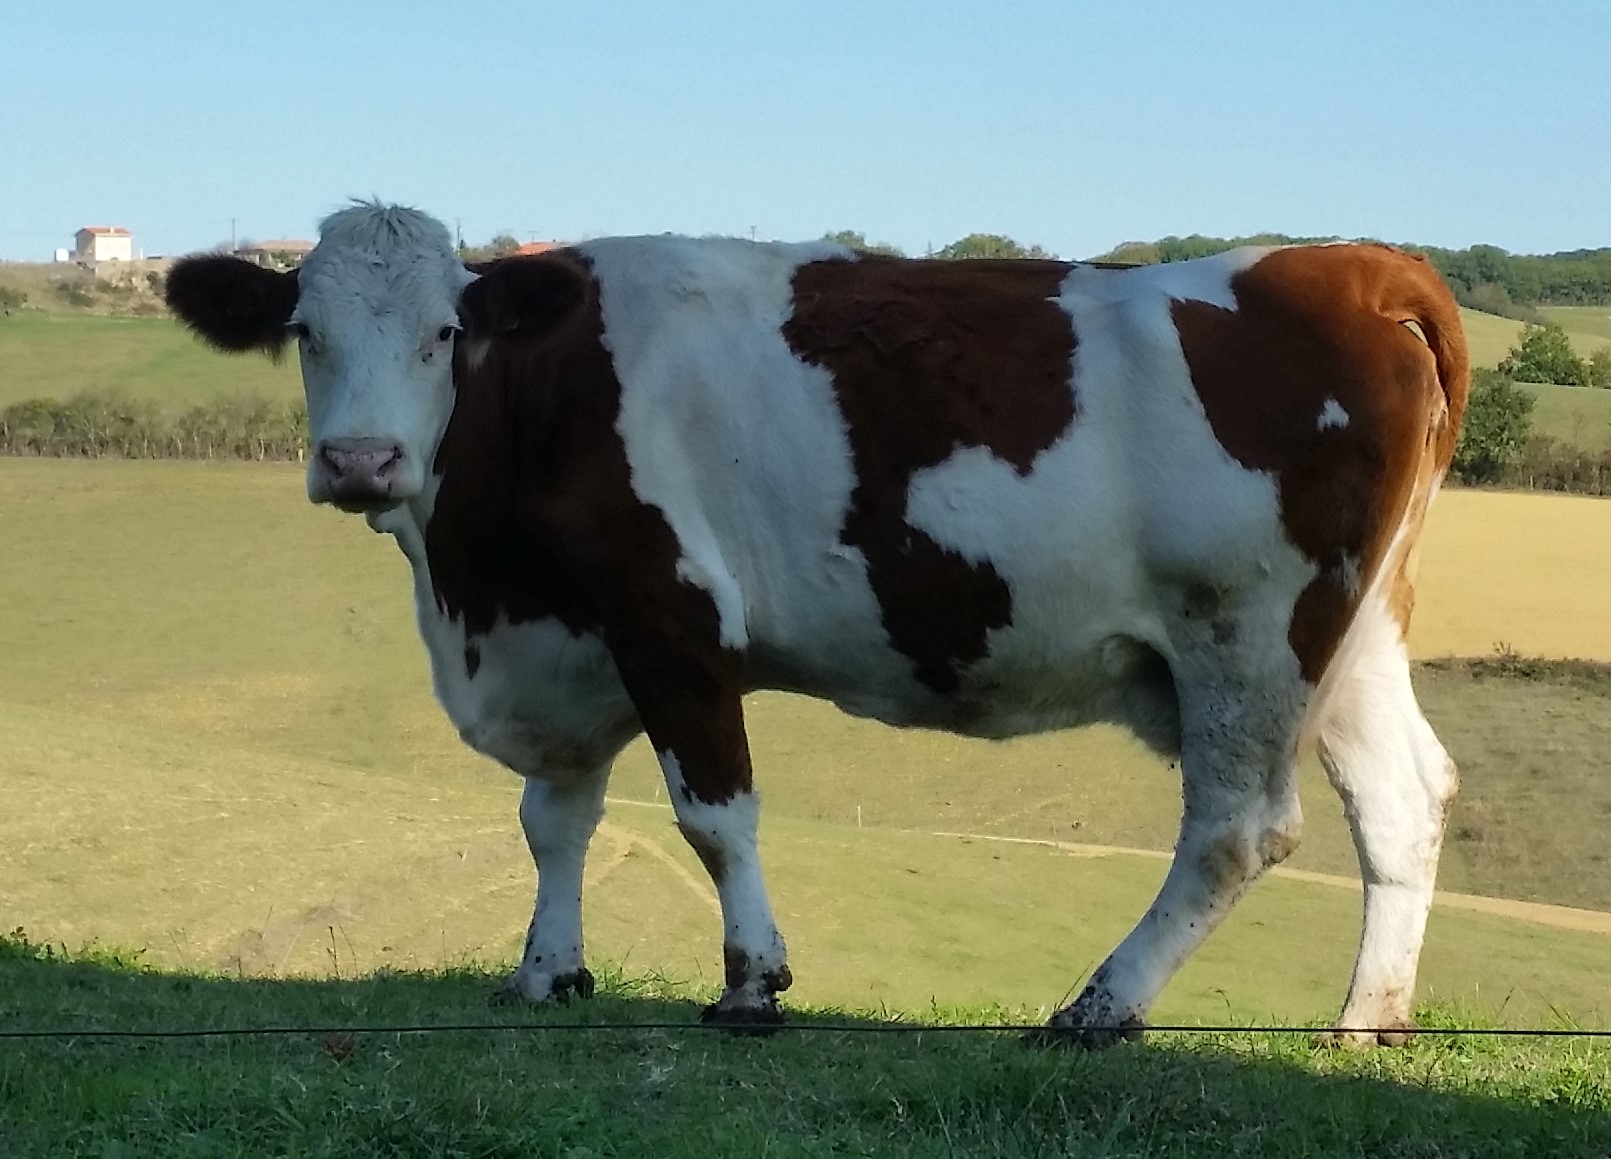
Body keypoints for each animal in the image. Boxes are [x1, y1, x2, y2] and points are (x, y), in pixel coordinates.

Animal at [165, 202, 1468, 1045]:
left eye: (447, 332)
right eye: (304, 333)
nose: (362, 460)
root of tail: (1350, 268)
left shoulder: (671, 615)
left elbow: (714, 815)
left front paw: (751, 984)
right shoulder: (570, 644)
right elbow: (554, 822)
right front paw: (547, 971)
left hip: (1247, 631)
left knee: (1238, 830)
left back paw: (1102, 1005)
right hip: (1351, 638)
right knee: (1401, 800)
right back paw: (1366, 1023)